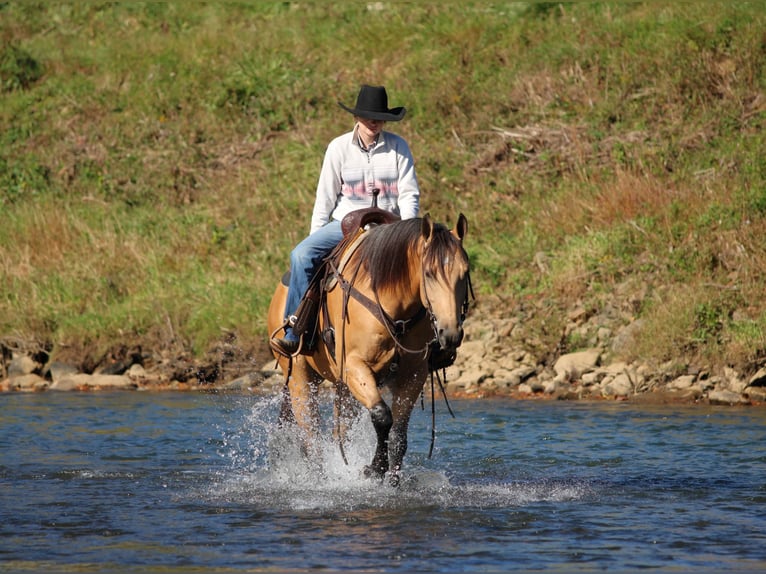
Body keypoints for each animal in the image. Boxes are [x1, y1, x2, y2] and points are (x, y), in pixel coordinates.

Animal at [266, 213, 471, 486]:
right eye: (428, 273)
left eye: (465, 273)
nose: (451, 334)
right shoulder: (355, 367)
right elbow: (382, 416)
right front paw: (374, 469)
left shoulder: (412, 376)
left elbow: (398, 436)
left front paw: (392, 480)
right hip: (300, 375)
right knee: (310, 435)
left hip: (343, 389)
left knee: (338, 432)